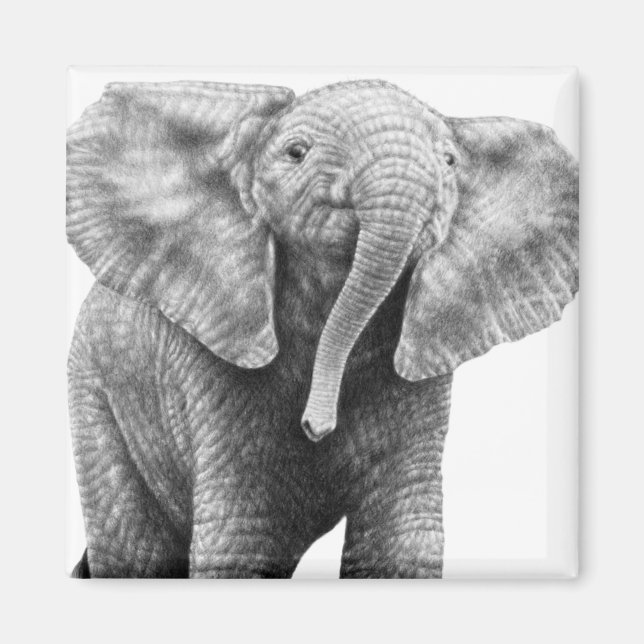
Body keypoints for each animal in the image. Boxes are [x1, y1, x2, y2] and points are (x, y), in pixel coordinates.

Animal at [66, 79, 578, 578]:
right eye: (296, 152)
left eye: (450, 162)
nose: (315, 425)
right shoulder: (212, 364)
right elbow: (242, 535)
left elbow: (401, 537)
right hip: (93, 394)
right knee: (135, 547)